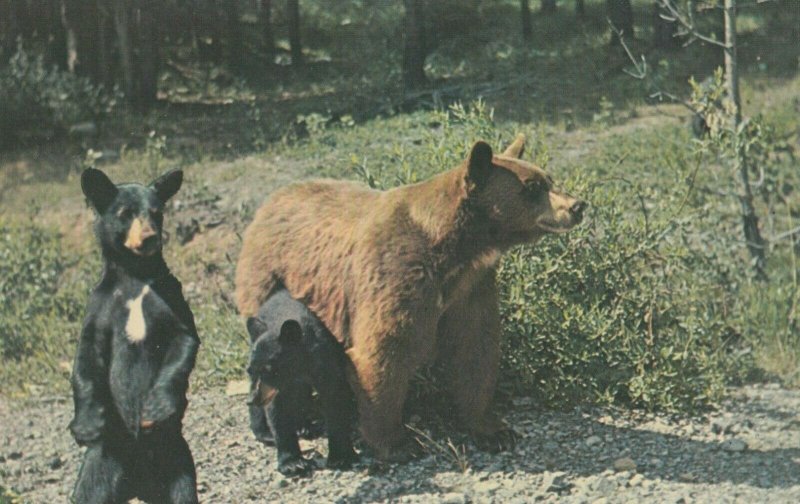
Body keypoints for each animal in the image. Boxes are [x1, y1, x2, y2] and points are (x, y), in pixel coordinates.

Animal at [70, 168, 200, 504]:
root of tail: (140, 487)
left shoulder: (169, 297)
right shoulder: (100, 308)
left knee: (183, 492)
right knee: (89, 492)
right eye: (125, 213)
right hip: (102, 463)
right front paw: (86, 425)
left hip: (176, 461)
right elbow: (86, 359)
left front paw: (157, 406)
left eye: (157, 213)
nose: (150, 236)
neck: (135, 276)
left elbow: (183, 340)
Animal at [245, 288, 354, 476]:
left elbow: (335, 399)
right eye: (250, 370)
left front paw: (340, 457)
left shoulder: (324, 363)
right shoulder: (274, 390)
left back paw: (304, 426)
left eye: (270, 370)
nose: (253, 398)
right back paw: (266, 433)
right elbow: (278, 413)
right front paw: (293, 463)